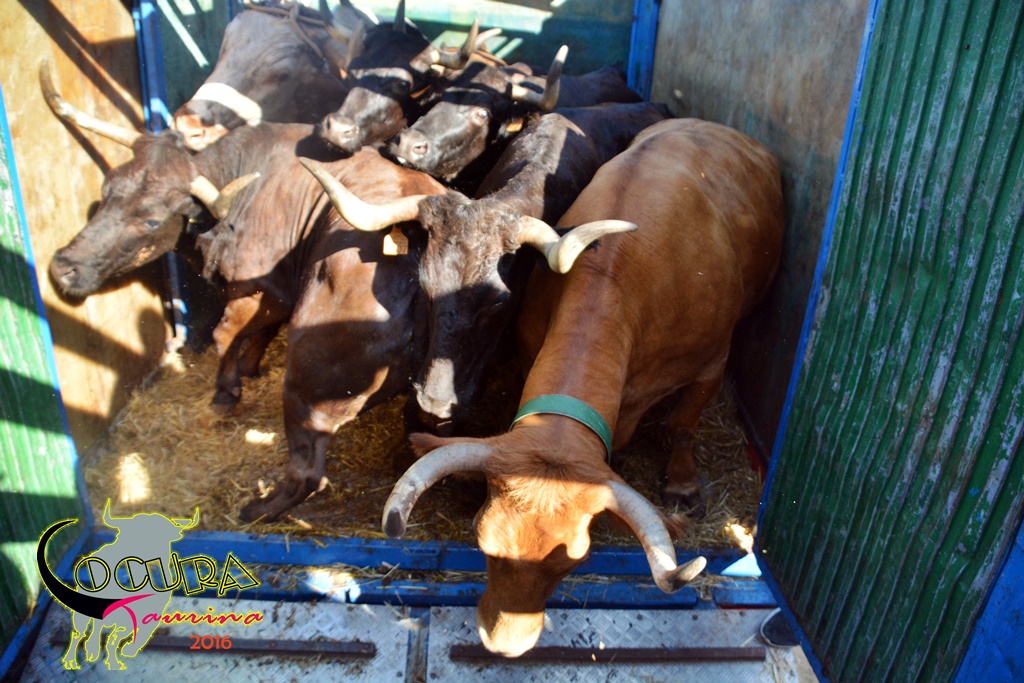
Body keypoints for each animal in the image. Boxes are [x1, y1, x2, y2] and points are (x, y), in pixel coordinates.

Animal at [376, 118, 786, 657]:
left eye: (574, 561)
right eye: (482, 542)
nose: (503, 646)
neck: (617, 277)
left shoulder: (711, 363)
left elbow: (682, 423)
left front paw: (682, 485)